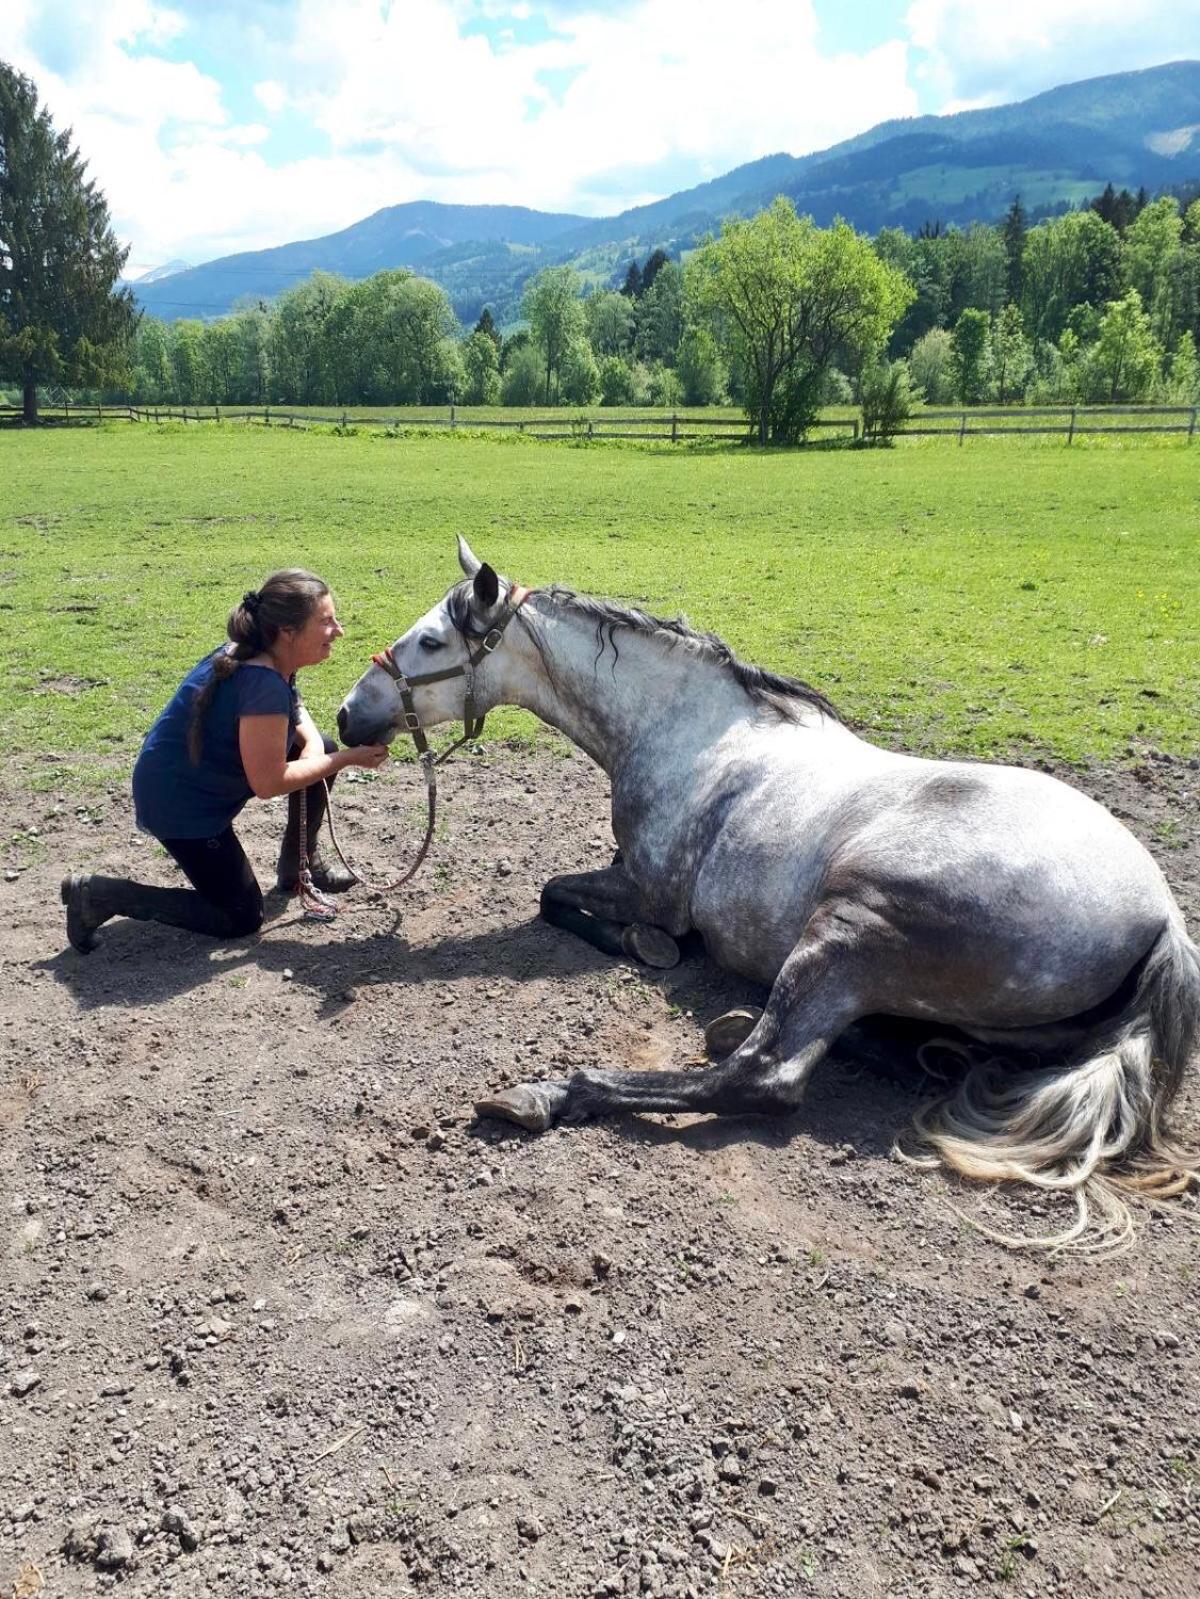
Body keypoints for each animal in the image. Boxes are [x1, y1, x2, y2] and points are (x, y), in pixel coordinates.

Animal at [337, 538, 1200, 1250]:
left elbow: (553, 897)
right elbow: (553, 894)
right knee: (904, 1055)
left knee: (765, 1074)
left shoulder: (647, 887)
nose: (348, 715)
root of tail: (1160, 917)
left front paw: (646, 949)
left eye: (431, 641)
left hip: (847, 933)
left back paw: (551, 1089)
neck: (692, 735)